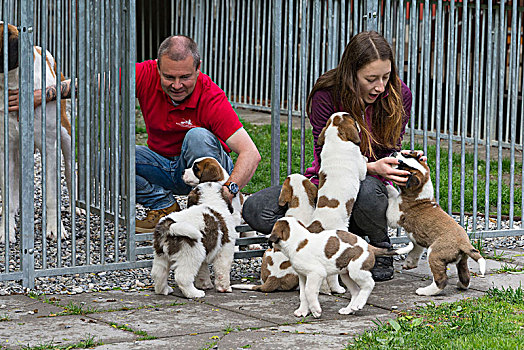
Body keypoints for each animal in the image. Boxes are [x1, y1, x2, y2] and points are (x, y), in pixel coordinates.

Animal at [0, 22, 74, 243]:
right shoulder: (6, 148)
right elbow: (8, 195)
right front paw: (6, 230)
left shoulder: (49, 147)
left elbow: (51, 195)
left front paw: (55, 229)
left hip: (66, 139)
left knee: (70, 176)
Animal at [270, 217, 414, 318]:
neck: (298, 240)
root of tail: (369, 246)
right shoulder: (303, 276)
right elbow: (303, 294)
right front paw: (302, 311)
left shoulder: (316, 274)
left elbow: (309, 292)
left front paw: (316, 311)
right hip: (346, 275)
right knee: (356, 291)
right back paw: (350, 309)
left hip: (356, 271)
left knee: (369, 284)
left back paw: (358, 305)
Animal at [304, 112, 366, 292]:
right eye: (353, 120)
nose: (359, 121)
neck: (335, 138)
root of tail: (317, 224)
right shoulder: (360, 168)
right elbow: (364, 164)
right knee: (332, 275)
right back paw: (337, 289)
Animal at [384, 150, 488, 296]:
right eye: (407, 155)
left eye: (401, 166)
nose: (394, 153)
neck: (420, 194)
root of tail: (464, 243)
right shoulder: (417, 239)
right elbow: (416, 249)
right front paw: (409, 263)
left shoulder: (394, 214)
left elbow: (392, 196)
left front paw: (386, 183)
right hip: (462, 260)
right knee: (465, 275)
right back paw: (461, 285)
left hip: (434, 255)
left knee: (441, 279)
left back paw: (425, 291)